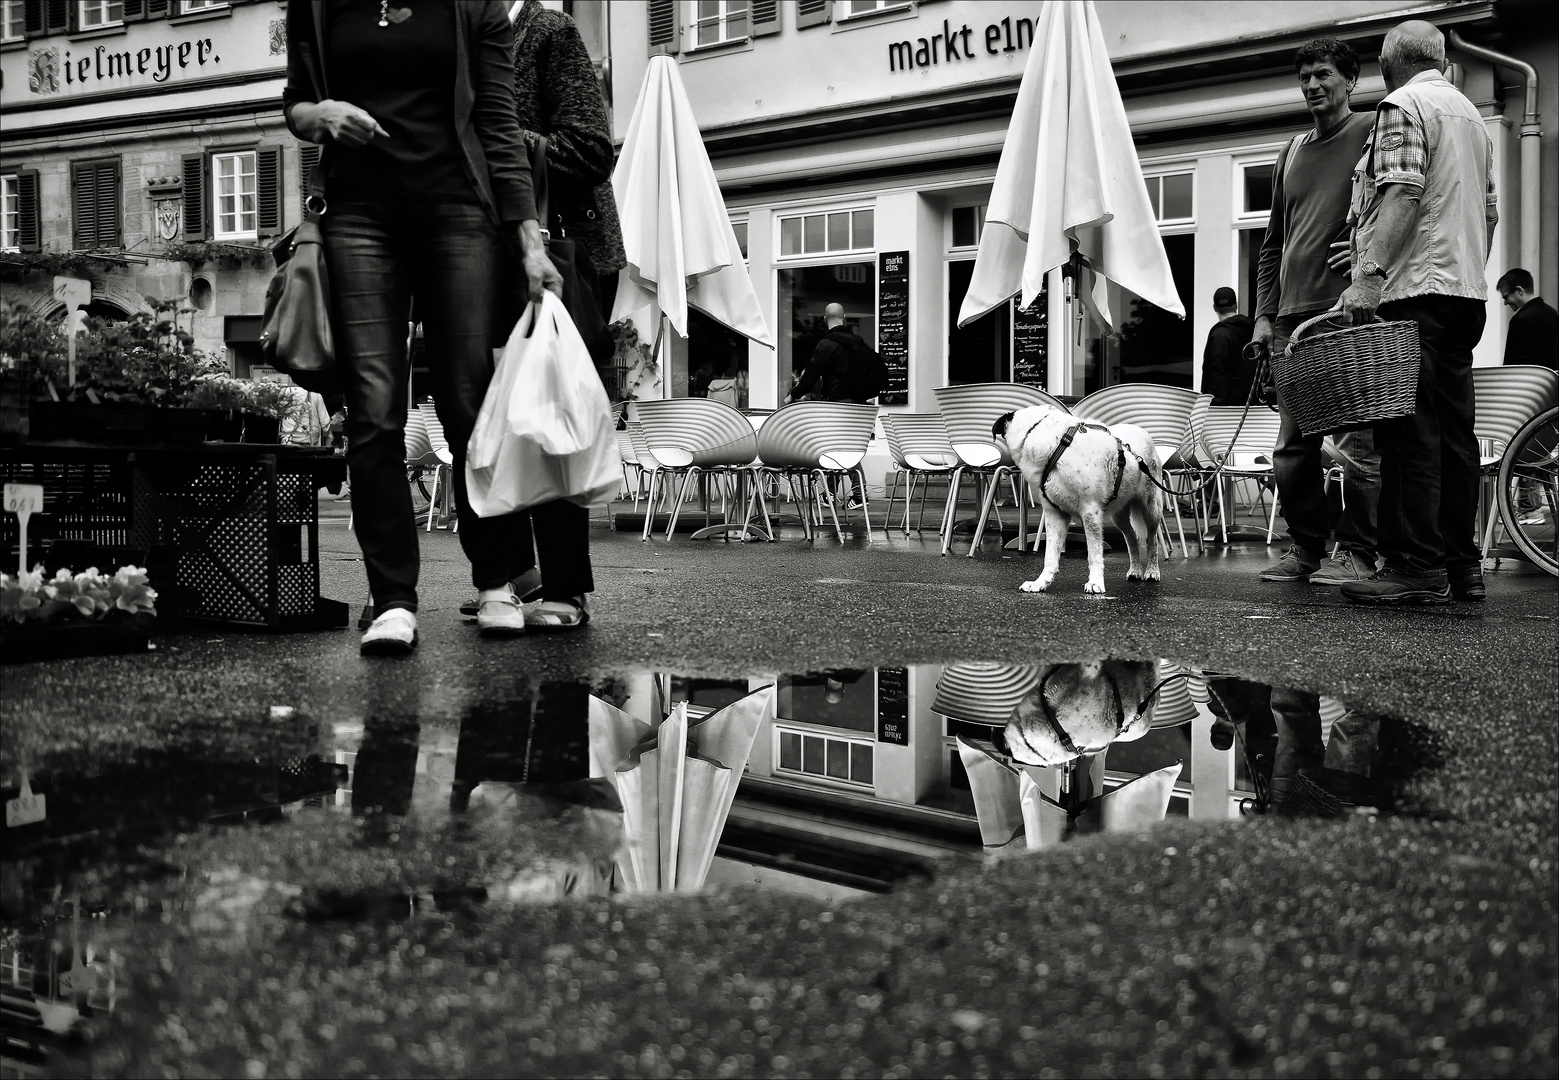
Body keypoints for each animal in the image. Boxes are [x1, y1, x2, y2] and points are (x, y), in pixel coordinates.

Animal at [991, 405, 1166, 595]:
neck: (1058, 446)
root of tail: (1142, 431)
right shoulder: (1055, 513)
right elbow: (1050, 555)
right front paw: (1040, 583)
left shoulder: (1090, 512)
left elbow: (1094, 554)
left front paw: (1095, 582)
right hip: (1119, 513)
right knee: (1131, 538)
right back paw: (1135, 570)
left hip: (1151, 507)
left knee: (1152, 539)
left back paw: (1152, 571)